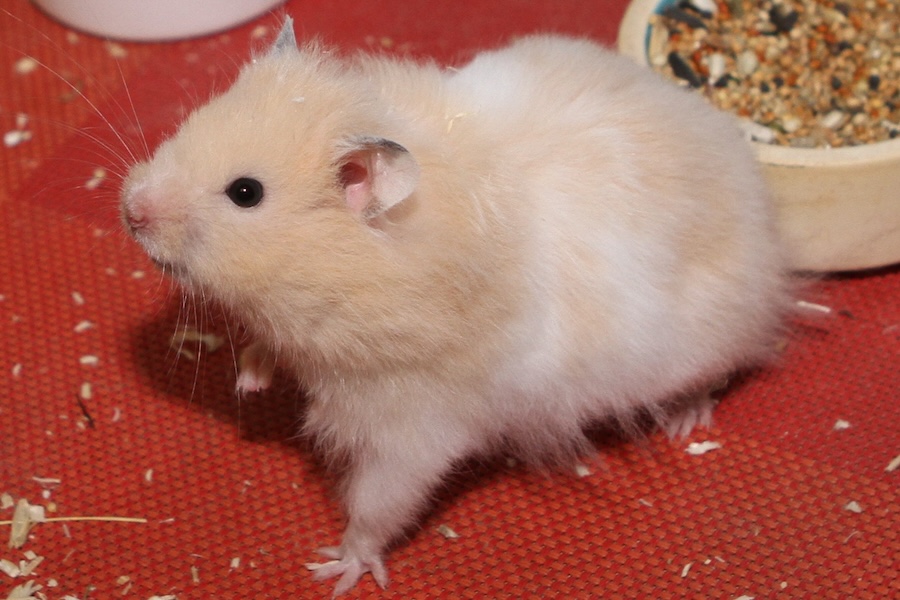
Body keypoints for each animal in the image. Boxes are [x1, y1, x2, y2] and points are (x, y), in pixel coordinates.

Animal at [121, 18, 792, 595]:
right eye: (192, 121)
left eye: (245, 193)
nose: (130, 211)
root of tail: (769, 223)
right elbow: (264, 345)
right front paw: (250, 381)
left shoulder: (415, 423)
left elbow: (380, 503)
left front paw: (337, 568)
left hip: (706, 336)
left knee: (716, 373)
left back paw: (685, 419)